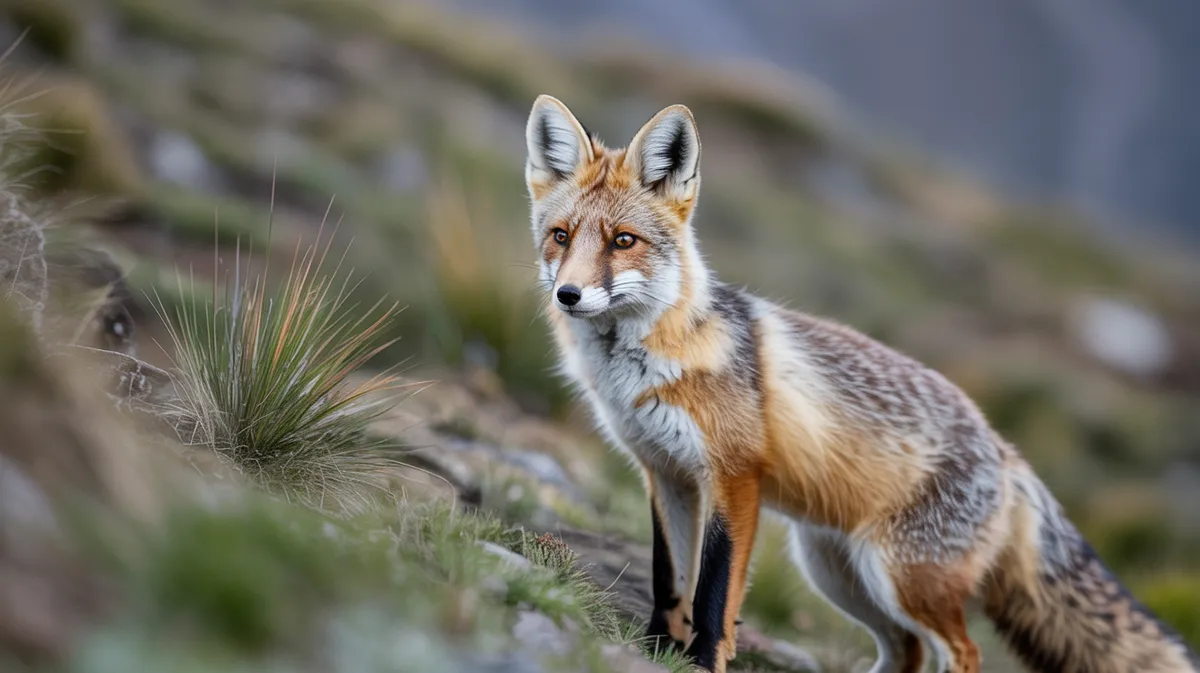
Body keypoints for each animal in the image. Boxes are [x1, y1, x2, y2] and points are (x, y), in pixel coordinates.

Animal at [522, 93, 1200, 673]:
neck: (643, 369)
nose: (568, 295)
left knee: (962, 651)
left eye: (623, 241)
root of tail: (1006, 452)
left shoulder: (734, 480)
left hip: (900, 580)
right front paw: (658, 652)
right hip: (840, 573)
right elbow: (670, 585)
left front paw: (701, 660)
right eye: (561, 237)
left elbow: (714, 599)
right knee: (908, 652)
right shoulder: (665, 476)